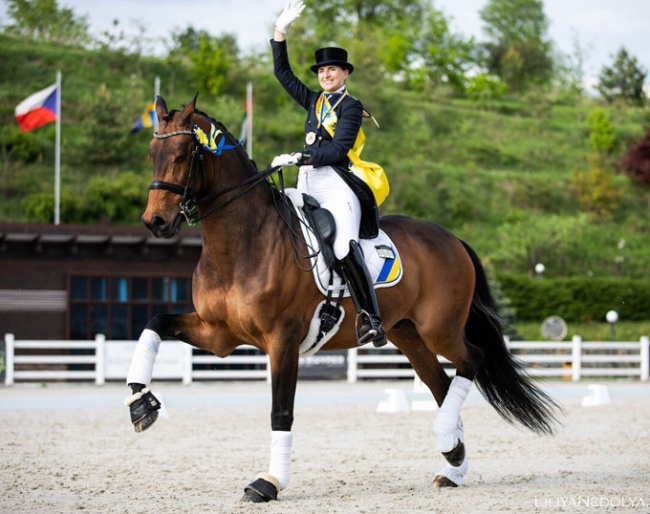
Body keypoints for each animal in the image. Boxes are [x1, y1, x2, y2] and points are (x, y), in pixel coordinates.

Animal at [126, 93, 556, 500]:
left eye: (182, 155)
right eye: (151, 155)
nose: (155, 222)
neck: (243, 242)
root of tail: (451, 239)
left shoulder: (282, 340)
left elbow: (281, 411)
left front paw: (269, 483)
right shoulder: (219, 335)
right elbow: (153, 324)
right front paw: (140, 403)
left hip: (440, 329)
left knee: (472, 360)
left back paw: (451, 448)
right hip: (407, 333)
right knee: (441, 384)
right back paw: (453, 460)